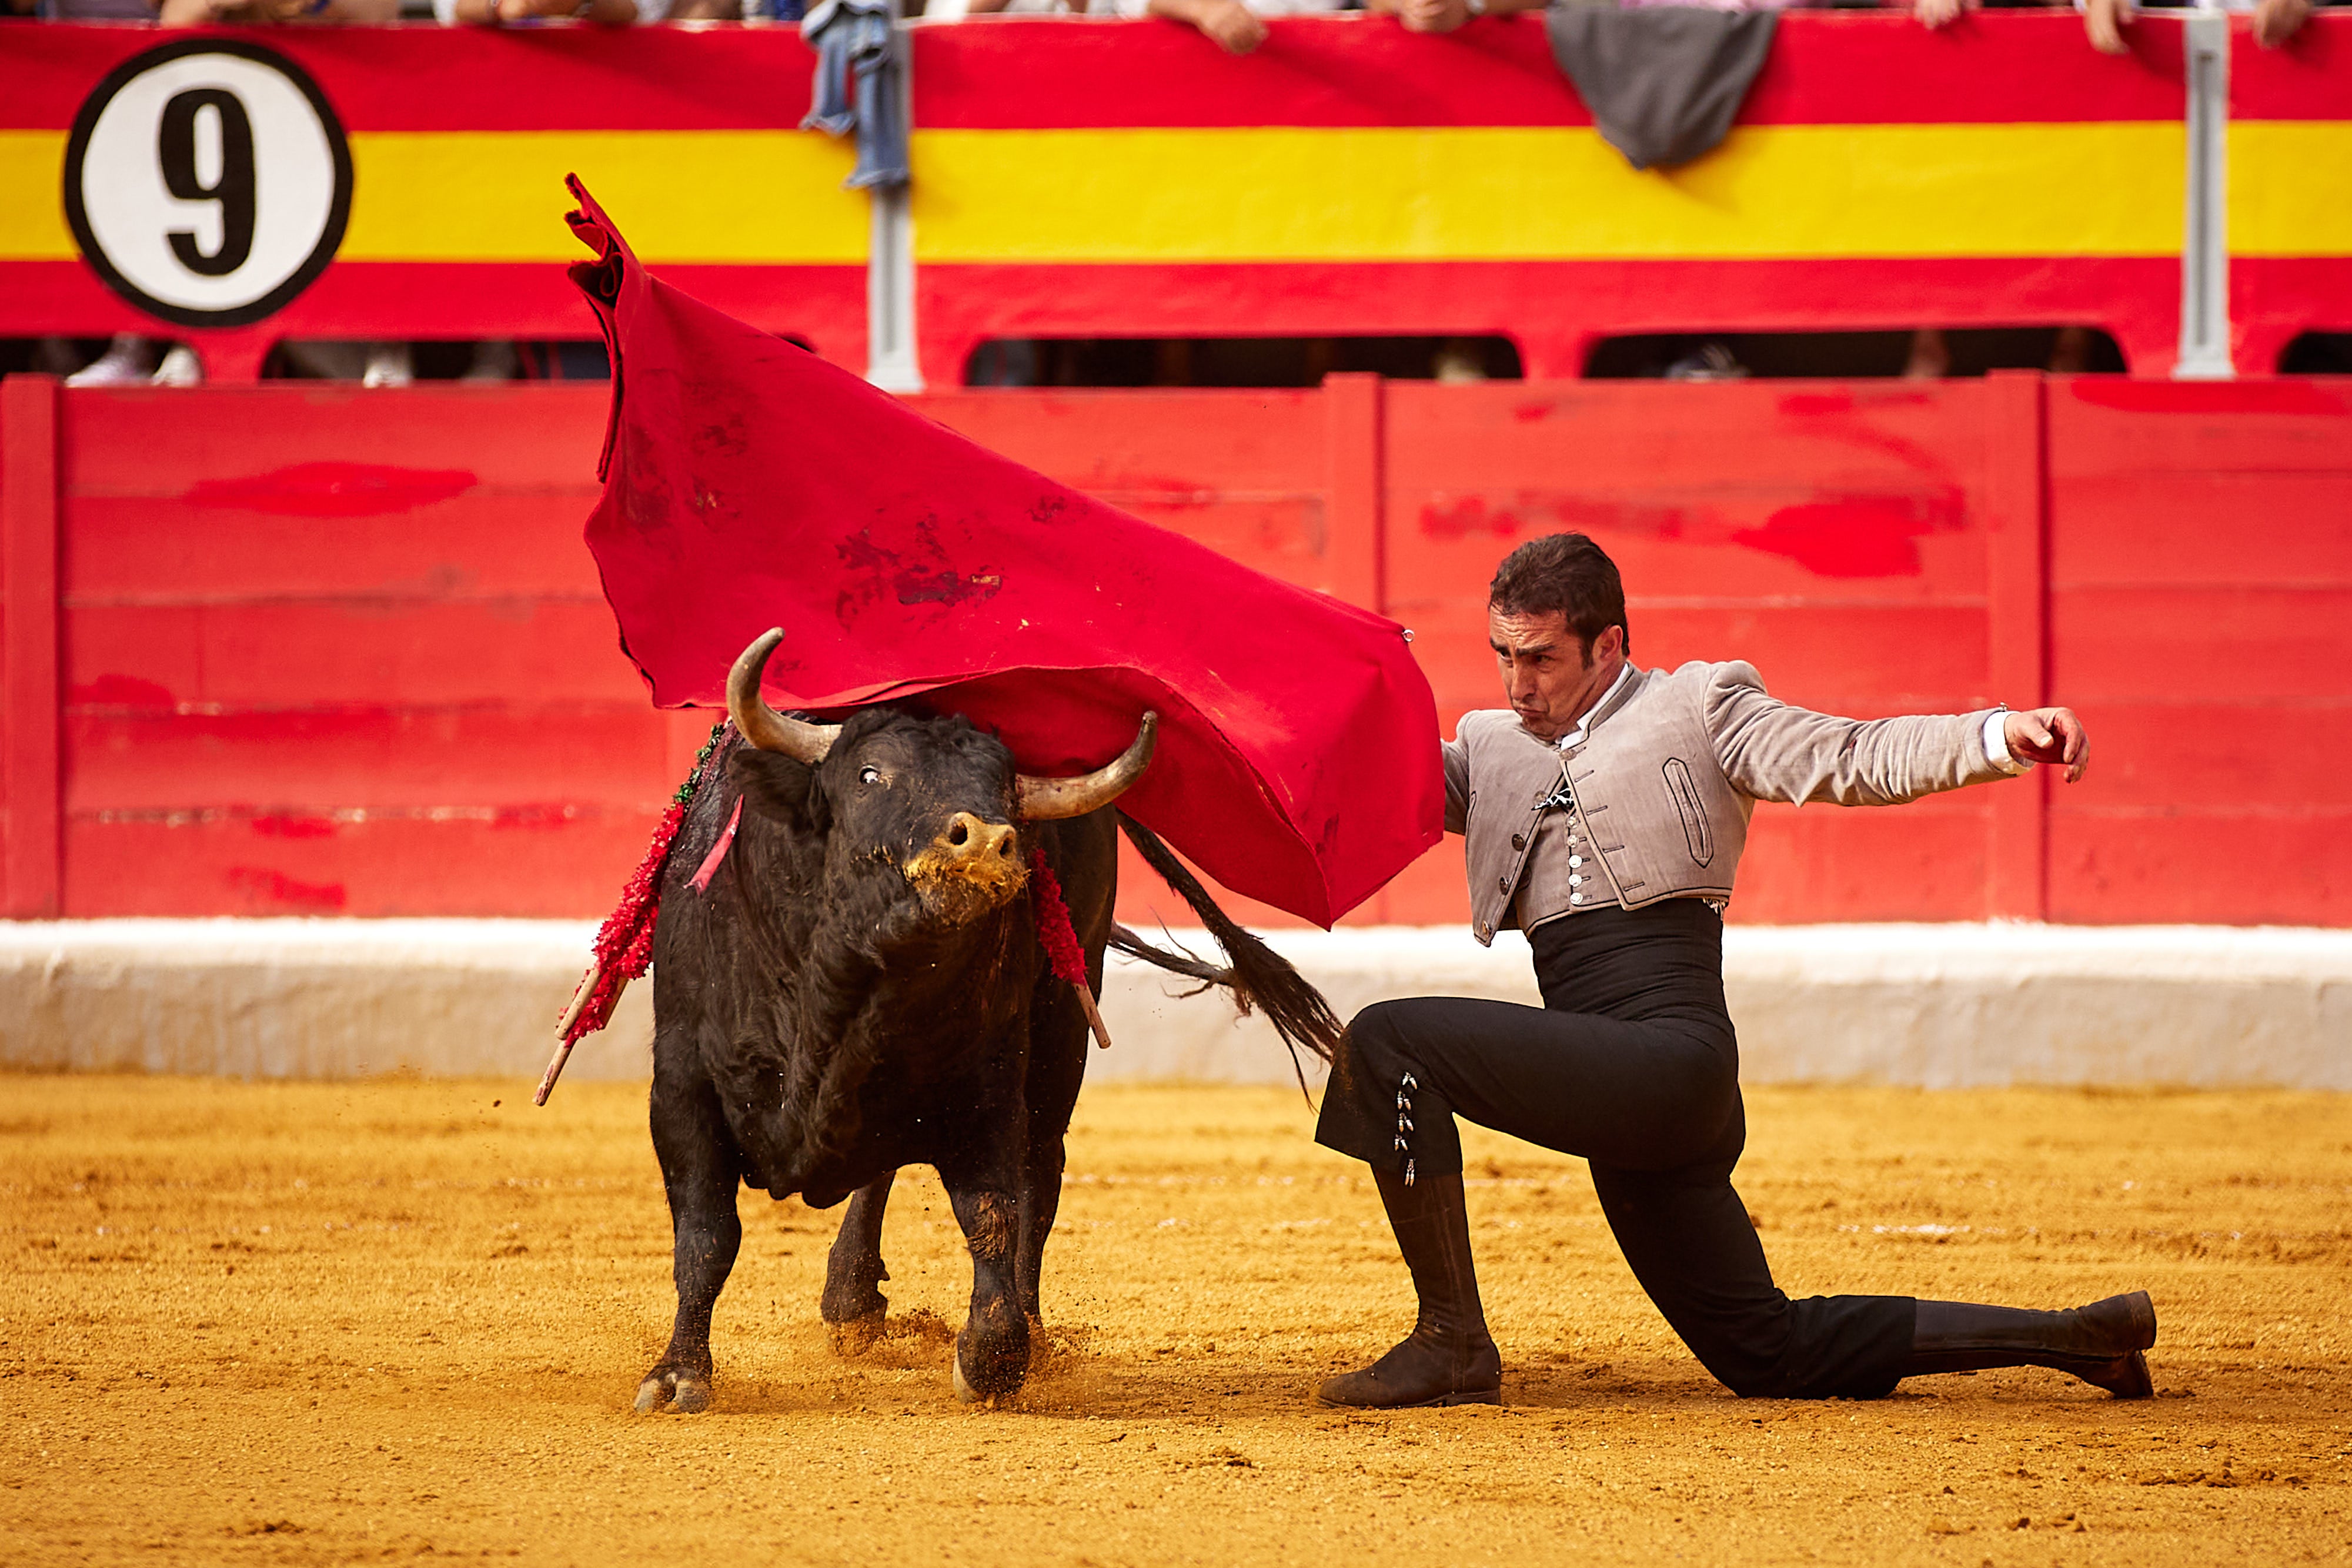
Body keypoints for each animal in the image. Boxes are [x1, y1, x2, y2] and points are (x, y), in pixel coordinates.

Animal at [640, 630, 1345, 1420]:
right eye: (870, 774)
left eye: (1004, 790)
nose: (981, 843)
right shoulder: (681, 1086)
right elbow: (706, 1231)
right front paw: (677, 1375)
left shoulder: (986, 1085)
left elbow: (993, 1212)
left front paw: (996, 1356)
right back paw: (852, 1302)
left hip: (1061, 1035)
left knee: (1040, 1172)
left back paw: (1017, 1330)